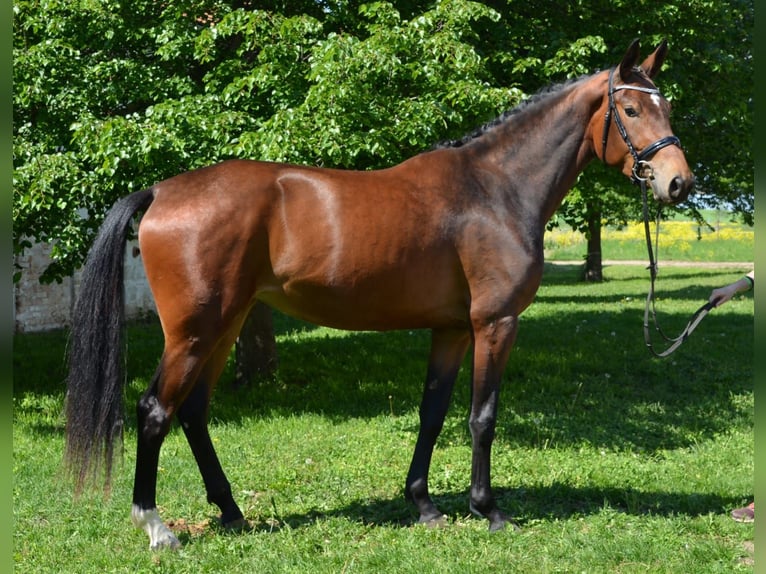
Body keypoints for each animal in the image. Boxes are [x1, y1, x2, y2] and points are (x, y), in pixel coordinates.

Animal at [63, 38, 692, 552]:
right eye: (630, 109)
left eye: (666, 107)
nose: (678, 182)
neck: (495, 189)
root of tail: (162, 191)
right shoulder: (495, 323)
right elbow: (482, 416)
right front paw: (488, 511)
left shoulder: (451, 329)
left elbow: (433, 413)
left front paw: (425, 505)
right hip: (193, 333)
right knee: (154, 411)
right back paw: (157, 527)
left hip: (225, 326)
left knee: (192, 412)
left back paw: (232, 511)